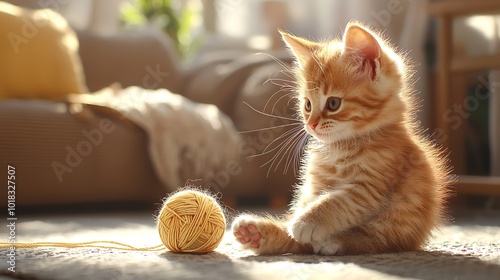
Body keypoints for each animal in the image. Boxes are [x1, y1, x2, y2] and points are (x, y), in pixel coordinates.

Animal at [232, 22, 452, 256]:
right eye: (307, 105)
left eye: (333, 104)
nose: (311, 124)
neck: (341, 146)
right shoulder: (314, 185)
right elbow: (313, 204)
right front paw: (299, 222)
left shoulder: (372, 185)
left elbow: (339, 200)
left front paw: (308, 221)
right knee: (300, 243)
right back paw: (255, 233)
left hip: (398, 224)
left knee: (373, 239)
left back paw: (334, 241)